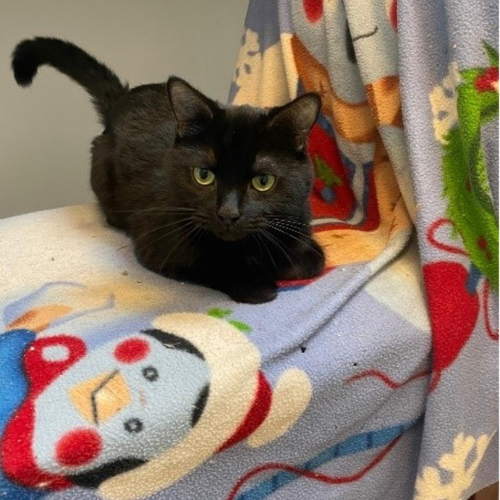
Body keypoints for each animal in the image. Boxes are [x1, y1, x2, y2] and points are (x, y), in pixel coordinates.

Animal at [12, 37, 324, 302]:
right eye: (203, 175)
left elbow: (312, 261)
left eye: (263, 181)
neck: (245, 245)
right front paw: (255, 285)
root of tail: (121, 100)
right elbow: (213, 266)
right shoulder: (158, 242)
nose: (228, 213)